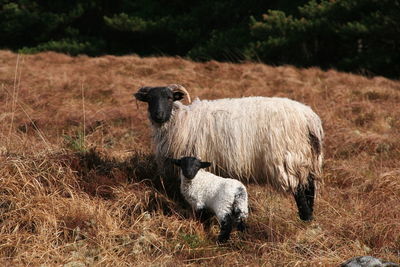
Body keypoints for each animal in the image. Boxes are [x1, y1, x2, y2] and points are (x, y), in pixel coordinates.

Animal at [136, 84, 324, 222]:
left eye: (169, 97)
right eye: (149, 99)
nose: (158, 115)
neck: (180, 121)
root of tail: (310, 119)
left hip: (290, 159)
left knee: (300, 191)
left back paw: (305, 219)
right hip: (307, 159)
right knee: (309, 188)